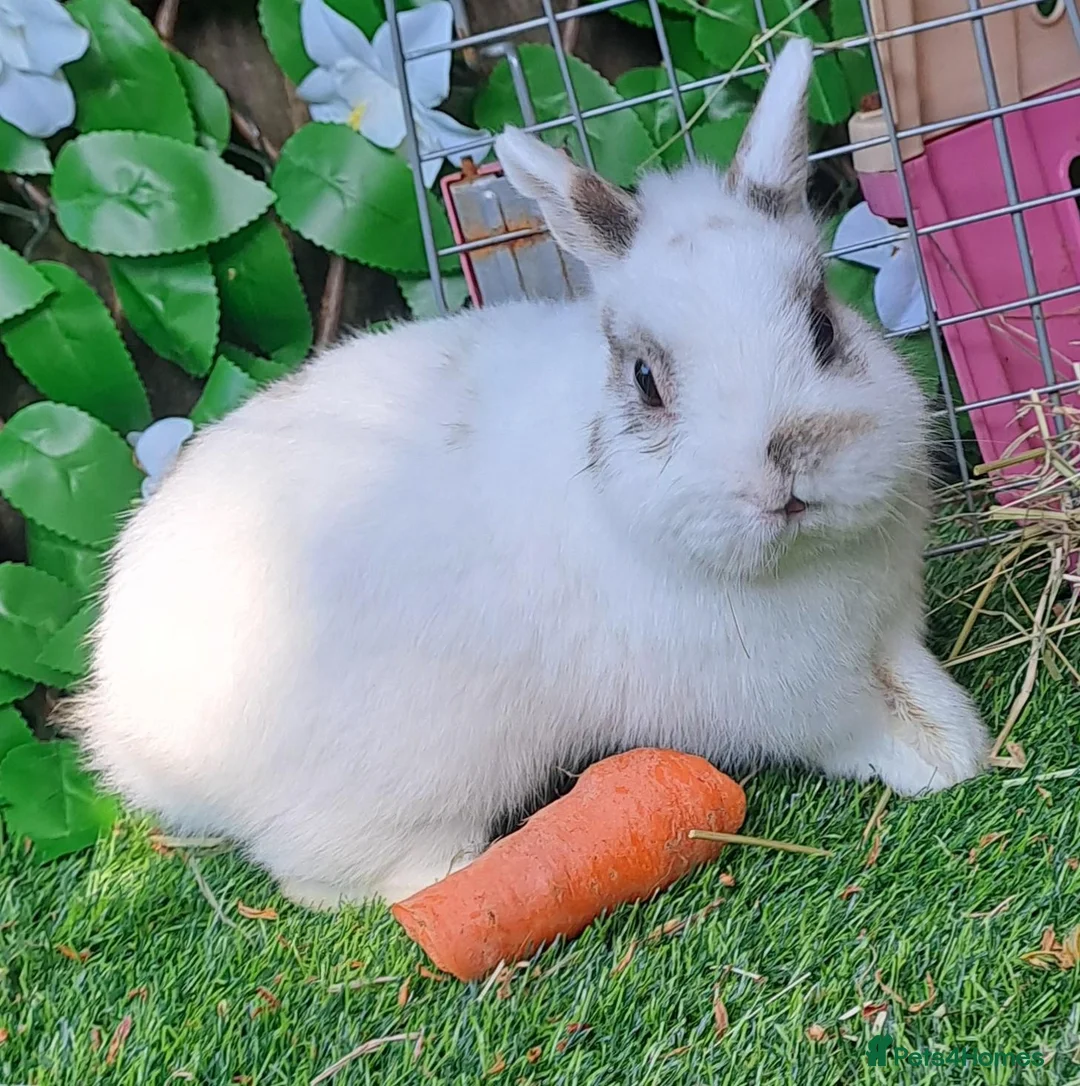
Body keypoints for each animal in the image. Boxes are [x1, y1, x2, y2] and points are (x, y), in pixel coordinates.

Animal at [65, 38, 988, 910]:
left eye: (824, 326)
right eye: (646, 380)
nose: (787, 470)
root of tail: (128, 724)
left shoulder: (887, 632)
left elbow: (917, 686)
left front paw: (962, 744)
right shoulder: (795, 699)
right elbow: (855, 730)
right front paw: (936, 762)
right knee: (316, 878)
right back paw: (452, 870)